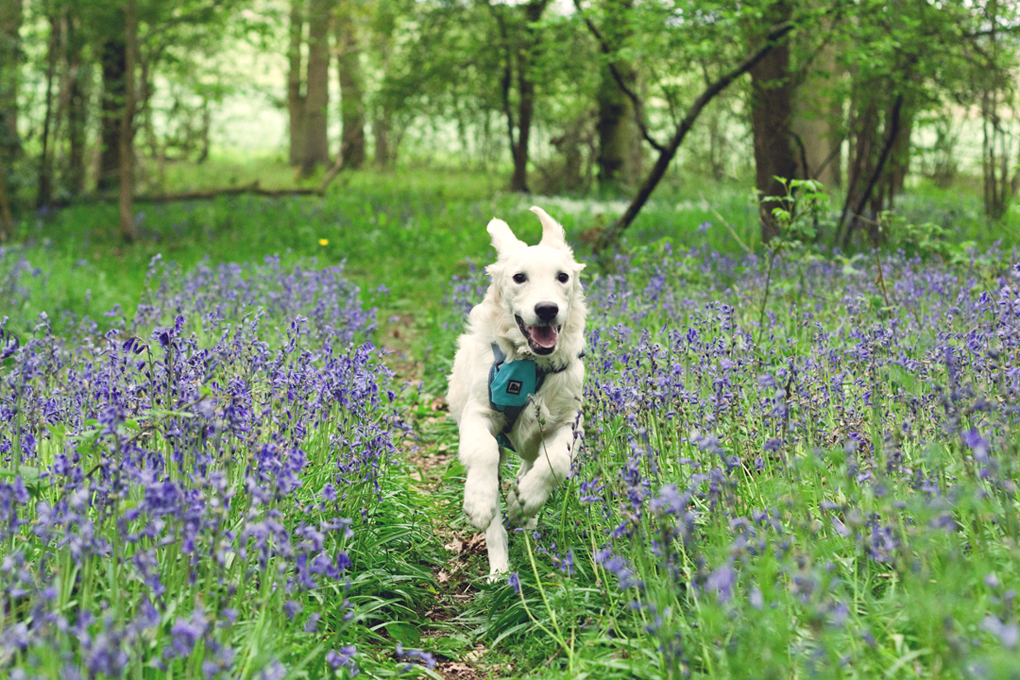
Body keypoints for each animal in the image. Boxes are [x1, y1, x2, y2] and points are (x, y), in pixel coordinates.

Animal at [448, 204, 587, 579]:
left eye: (562, 277)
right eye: (519, 278)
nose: (547, 309)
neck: (530, 364)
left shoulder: (569, 421)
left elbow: (556, 462)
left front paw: (526, 500)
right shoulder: (479, 413)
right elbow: (483, 452)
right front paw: (479, 502)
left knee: (529, 468)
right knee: (496, 525)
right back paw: (499, 570)